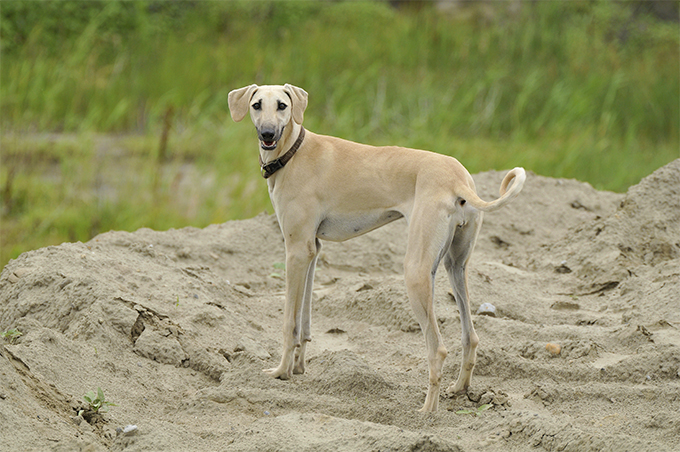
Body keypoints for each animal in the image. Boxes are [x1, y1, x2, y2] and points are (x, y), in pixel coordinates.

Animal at [228, 83, 524, 412]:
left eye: (282, 105)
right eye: (256, 105)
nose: (267, 134)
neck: (294, 152)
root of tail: (458, 181)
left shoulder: (295, 251)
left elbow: (289, 324)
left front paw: (281, 372)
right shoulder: (311, 251)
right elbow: (304, 321)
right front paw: (299, 368)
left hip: (416, 272)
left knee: (437, 348)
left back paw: (427, 412)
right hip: (454, 266)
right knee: (470, 337)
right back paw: (459, 389)